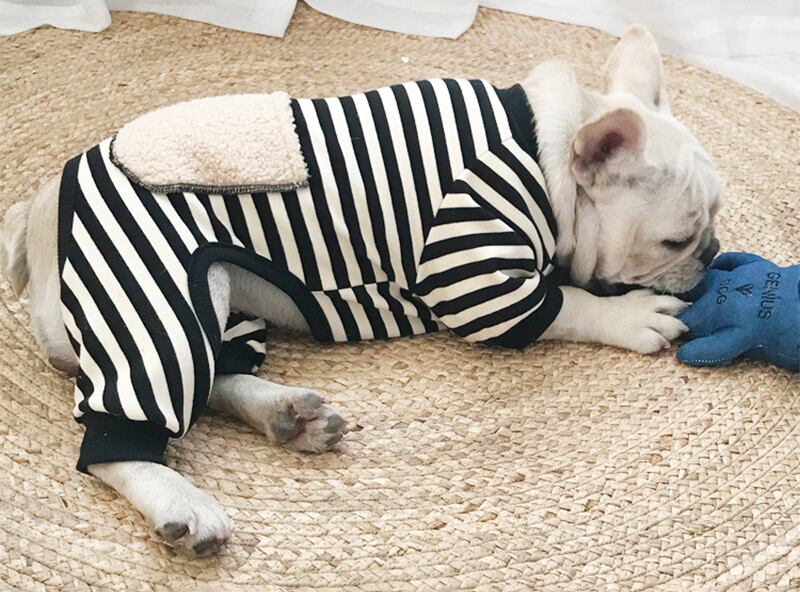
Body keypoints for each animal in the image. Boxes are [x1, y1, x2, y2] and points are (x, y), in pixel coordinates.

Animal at [0, 25, 721, 556]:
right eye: (675, 241)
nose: (714, 255)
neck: (551, 159)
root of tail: (37, 216)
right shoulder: (471, 272)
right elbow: (564, 304)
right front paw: (629, 316)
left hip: (219, 299)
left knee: (218, 377)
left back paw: (286, 415)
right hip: (154, 291)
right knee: (129, 423)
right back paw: (181, 499)